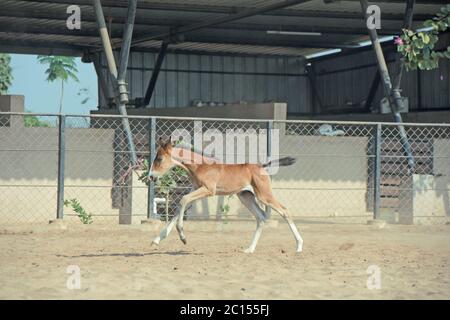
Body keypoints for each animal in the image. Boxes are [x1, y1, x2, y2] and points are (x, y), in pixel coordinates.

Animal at [149, 139, 302, 254]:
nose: (151, 176)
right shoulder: (197, 190)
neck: (200, 166)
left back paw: (299, 246)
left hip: (264, 195)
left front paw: (182, 237)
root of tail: (262, 166)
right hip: (246, 197)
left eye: (160, 158)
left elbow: (183, 199)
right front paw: (157, 240)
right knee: (261, 217)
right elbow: (179, 207)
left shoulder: (208, 190)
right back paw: (250, 249)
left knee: (284, 211)